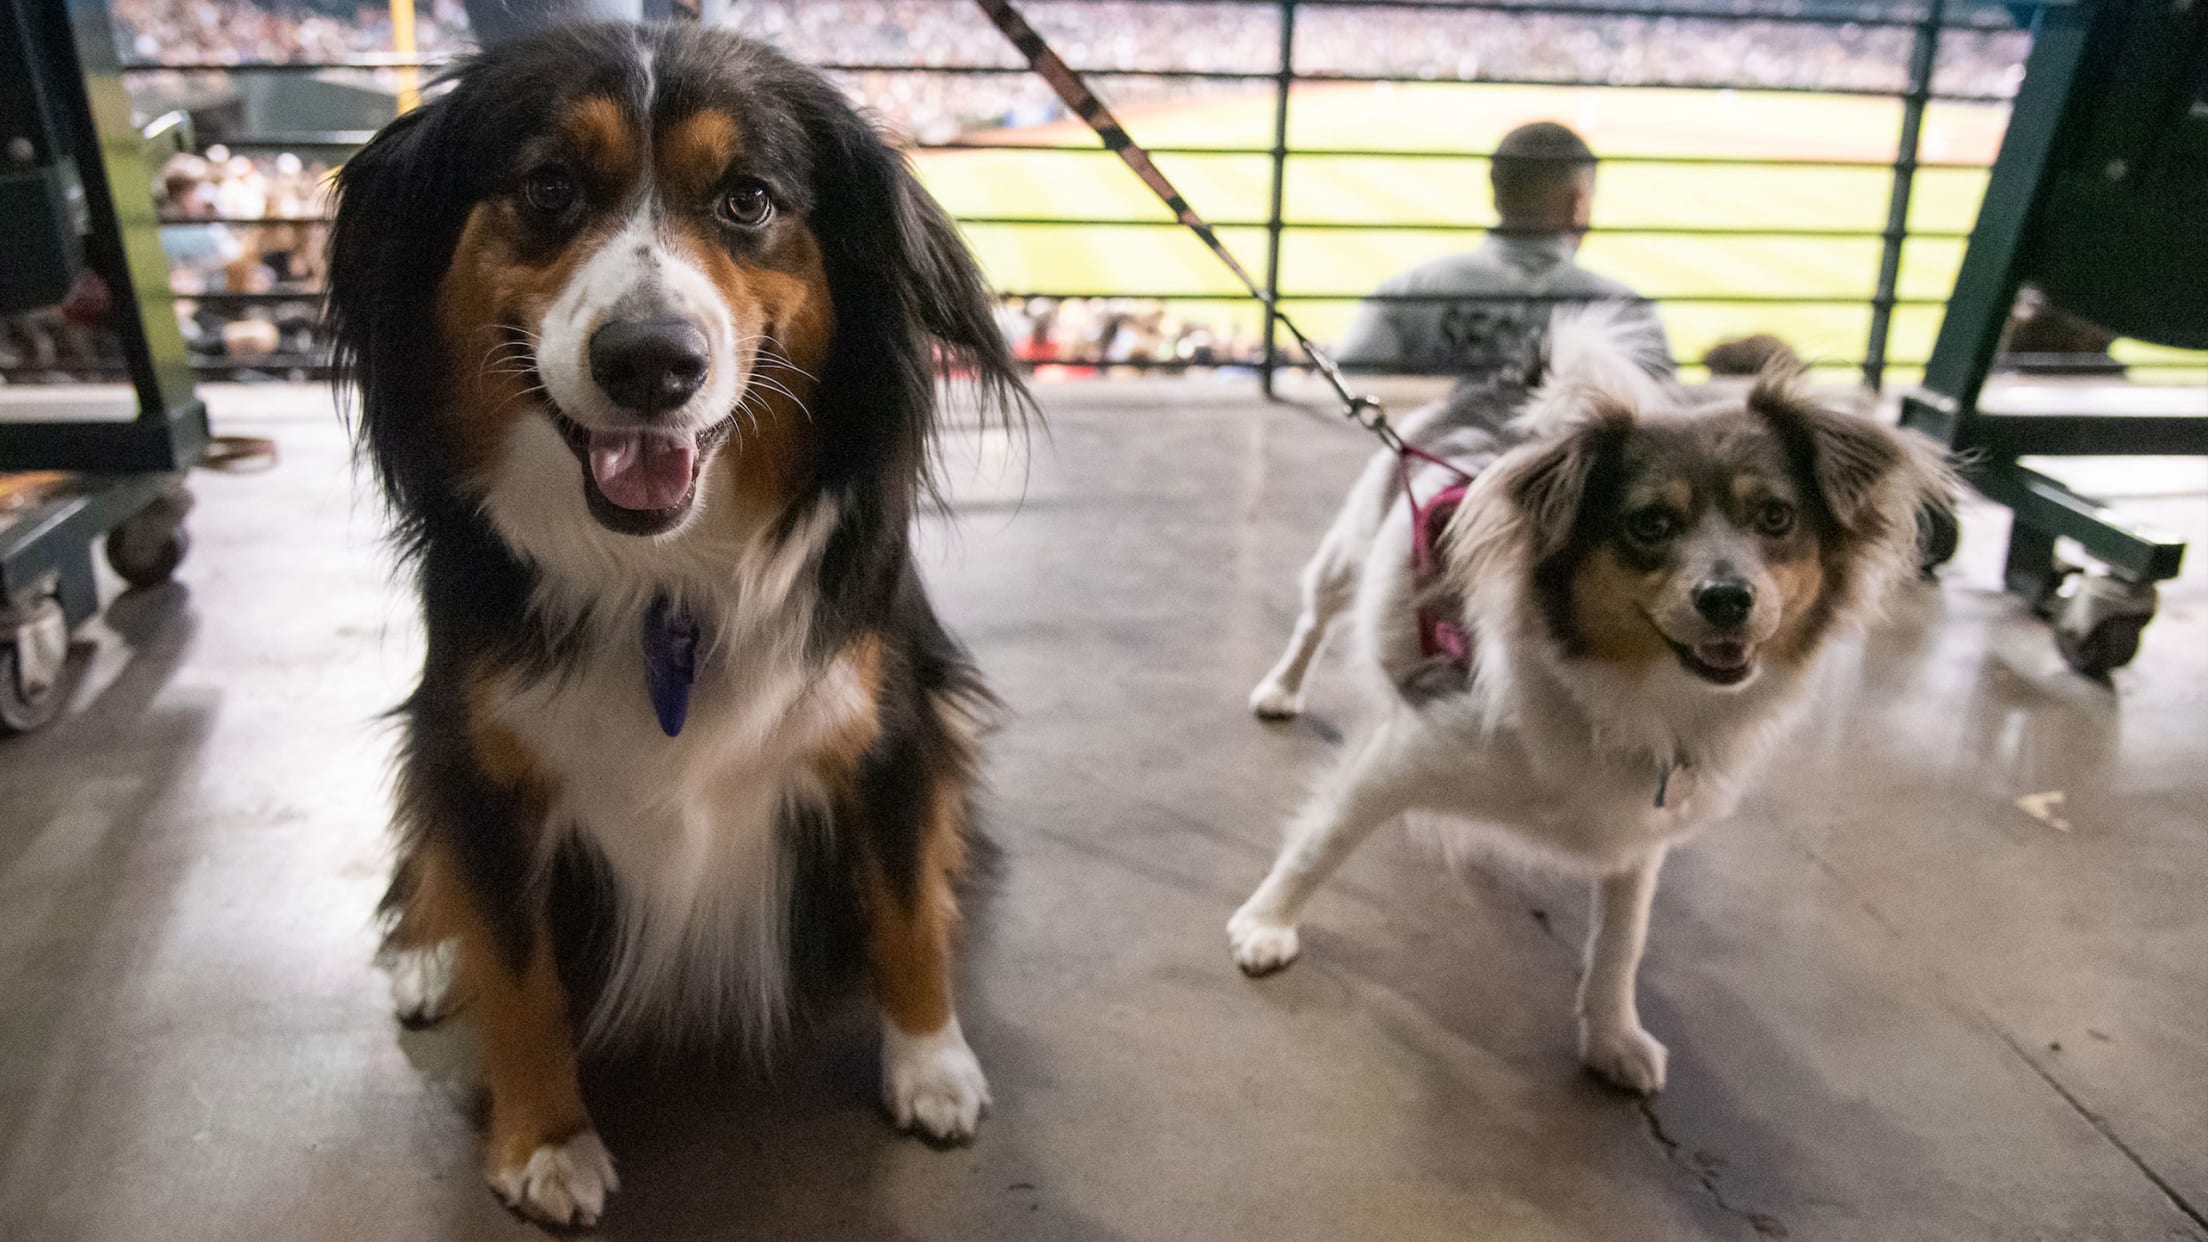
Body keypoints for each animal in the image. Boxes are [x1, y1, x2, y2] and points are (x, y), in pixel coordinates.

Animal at [324, 24, 1024, 1219]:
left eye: (748, 199)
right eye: (548, 185)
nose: (651, 361)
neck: (661, 580)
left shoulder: (892, 722)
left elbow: (903, 908)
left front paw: (932, 1064)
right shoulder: (479, 753)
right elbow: (517, 967)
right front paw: (547, 1140)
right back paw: (426, 954)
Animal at [1236, 313, 1943, 1087]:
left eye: (1776, 517)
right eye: (1650, 524)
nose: (1728, 598)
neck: (1632, 690)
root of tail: (1515, 385)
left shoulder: (1641, 828)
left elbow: (1621, 942)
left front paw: (1612, 1038)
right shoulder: (1407, 749)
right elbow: (1321, 841)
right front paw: (1264, 926)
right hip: (1349, 549)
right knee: (1315, 618)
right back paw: (1280, 690)